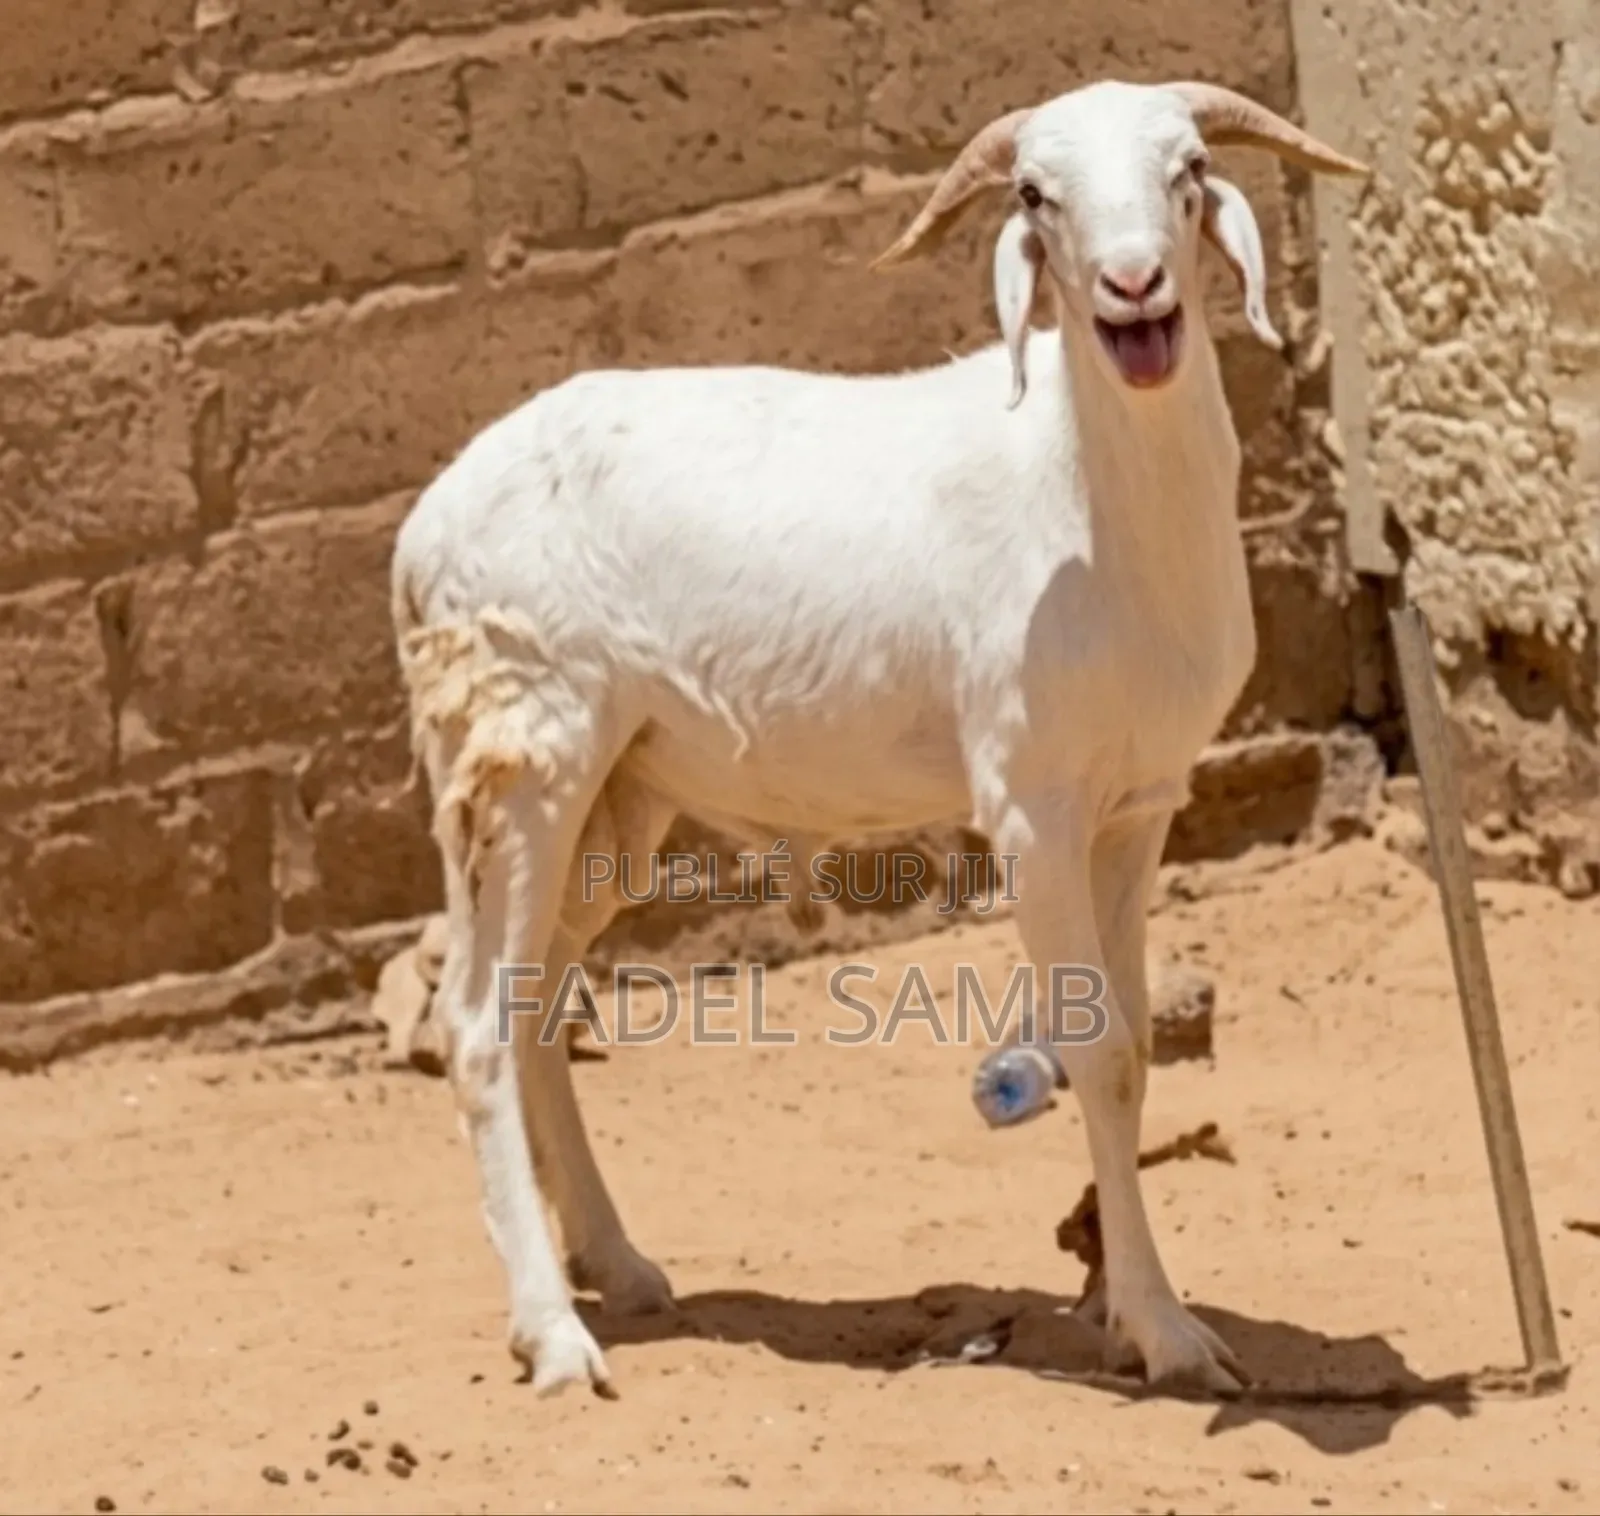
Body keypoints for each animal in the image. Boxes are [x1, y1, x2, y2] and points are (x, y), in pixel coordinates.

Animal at [390, 77, 1369, 1401]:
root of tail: (420, 534)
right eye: (1033, 194)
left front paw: (1119, 1296)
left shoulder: (1137, 803)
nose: (1131, 287)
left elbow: (1133, 1054)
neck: (1090, 502)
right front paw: (1167, 1334)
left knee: (538, 999)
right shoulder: (1030, 806)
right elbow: (1097, 1048)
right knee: (478, 1023)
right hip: (521, 755)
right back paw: (552, 1333)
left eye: (1191, 168)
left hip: (616, 791)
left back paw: (619, 1265)